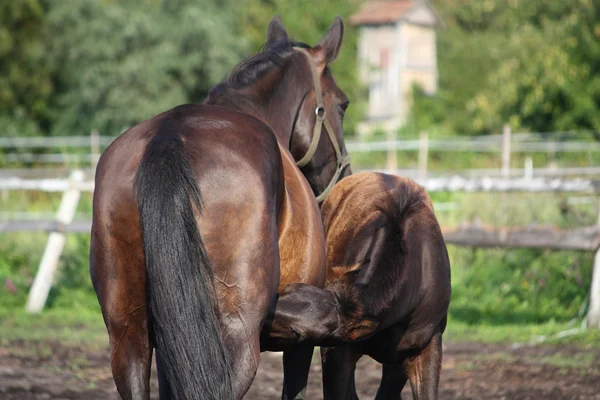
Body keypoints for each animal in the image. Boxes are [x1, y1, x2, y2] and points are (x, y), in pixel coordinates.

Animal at [89, 16, 352, 400]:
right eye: (342, 104)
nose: (345, 173)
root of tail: (169, 136)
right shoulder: (298, 345)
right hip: (234, 338)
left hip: (129, 335)